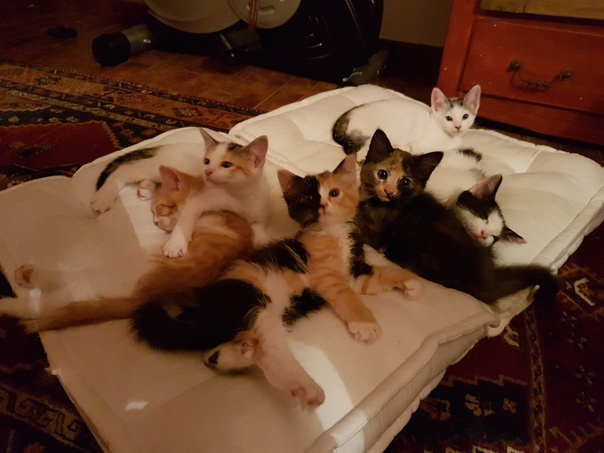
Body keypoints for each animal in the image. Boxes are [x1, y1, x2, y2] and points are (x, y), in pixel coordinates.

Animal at [6, 167, 255, 328]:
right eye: (154, 212)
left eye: (161, 208)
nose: (156, 223)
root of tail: (144, 298)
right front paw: (147, 187)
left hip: (104, 275)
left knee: (53, 296)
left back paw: (20, 287)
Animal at [129, 155, 422, 407]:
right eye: (308, 198)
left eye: (334, 194)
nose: (323, 206)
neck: (333, 232)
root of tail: (200, 303)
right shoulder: (326, 278)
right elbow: (348, 297)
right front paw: (366, 324)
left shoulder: (355, 275)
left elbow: (379, 276)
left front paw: (411, 282)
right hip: (255, 300)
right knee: (269, 348)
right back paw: (304, 388)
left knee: (220, 347)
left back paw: (232, 354)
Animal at [332, 85, 481, 160]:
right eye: (448, 118)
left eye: (465, 116)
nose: (458, 126)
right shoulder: (422, 144)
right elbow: (418, 149)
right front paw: (407, 148)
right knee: (361, 154)